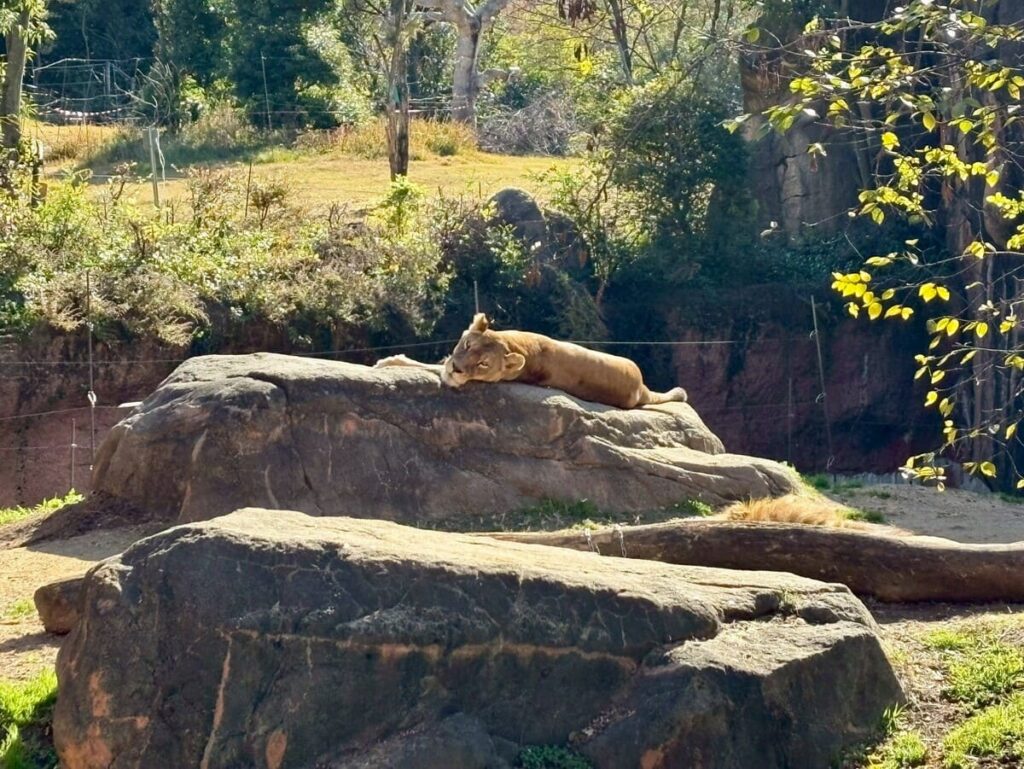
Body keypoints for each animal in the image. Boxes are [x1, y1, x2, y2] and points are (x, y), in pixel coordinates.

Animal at [375, 313, 688, 410]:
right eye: (467, 344)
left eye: (484, 364)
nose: (458, 369)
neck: (515, 344)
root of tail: (641, 388)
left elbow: (431, 367)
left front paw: (389, 361)